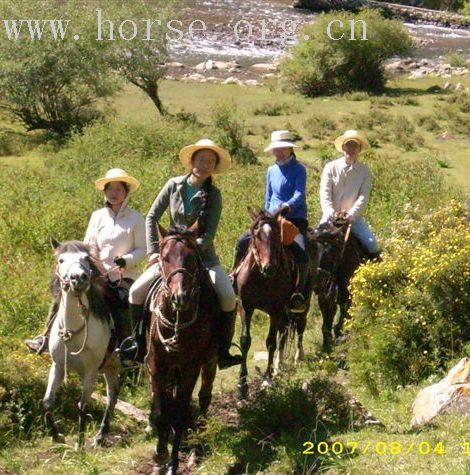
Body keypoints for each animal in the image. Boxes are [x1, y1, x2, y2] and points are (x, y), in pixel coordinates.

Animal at [42, 240, 120, 448]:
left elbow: (83, 405)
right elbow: (47, 402)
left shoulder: (91, 370)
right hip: (111, 365)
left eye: (86, 258)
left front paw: (79, 443)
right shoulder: (58, 366)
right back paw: (101, 435)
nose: (79, 279)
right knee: (113, 395)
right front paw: (57, 437)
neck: (73, 331)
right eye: (61, 260)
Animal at [146, 224, 219, 475]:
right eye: (165, 258)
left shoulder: (190, 368)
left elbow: (178, 414)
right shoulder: (158, 366)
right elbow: (162, 413)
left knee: (204, 395)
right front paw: (159, 457)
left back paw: (199, 439)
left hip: (210, 363)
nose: (181, 298)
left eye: (192, 258)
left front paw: (172, 463)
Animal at [234, 210, 316, 400]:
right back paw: (280, 364)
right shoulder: (245, 307)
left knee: (299, 327)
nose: (269, 268)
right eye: (257, 236)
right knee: (284, 332)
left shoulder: (275, 310)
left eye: (277, 237)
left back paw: (297, 357)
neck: (261, 278)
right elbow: (245, 341)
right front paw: (242, 385)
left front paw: (267, 379)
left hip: (302, 303)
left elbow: (271, 342)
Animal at [312, 218, 368, 352]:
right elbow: (328, 315)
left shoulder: (349, 290)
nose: (318, 281)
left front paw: (338, 331)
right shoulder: (325, 295)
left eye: (330, 252)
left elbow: (346, 311)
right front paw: (326, 344)